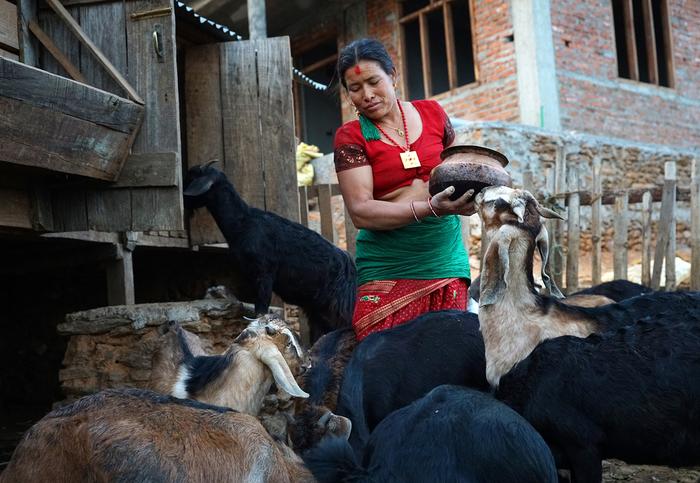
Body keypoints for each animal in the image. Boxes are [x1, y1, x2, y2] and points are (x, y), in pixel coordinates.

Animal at [182, 164, 356, 344]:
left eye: (190, 178)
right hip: (316, 309)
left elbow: (261, 311)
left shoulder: (264, 273)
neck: (243, 223)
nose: (183, 200)